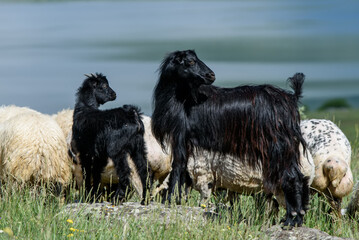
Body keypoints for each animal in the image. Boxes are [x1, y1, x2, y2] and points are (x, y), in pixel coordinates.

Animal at [71, 72, 152, 202]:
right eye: (103, 86)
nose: (114, 94)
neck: (84, 109)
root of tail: (134, 115)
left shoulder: (85, 150)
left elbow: (87, 171)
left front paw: (88, 195)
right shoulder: (99, 154)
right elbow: (96, 172)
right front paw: (95, 195)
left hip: (116, 149)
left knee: (125, 171)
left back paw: (118, 197)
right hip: (138, 145)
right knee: (144, 169)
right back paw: (145, 199)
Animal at [152, 50, 310, 227]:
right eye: (191, 61)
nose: (211, 75)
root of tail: (291, 98)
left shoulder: (179, 135)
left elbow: (177, 167)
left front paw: (169, 201)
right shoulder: (185, 140)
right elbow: (182, 169)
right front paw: (177, 200)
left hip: (278, 145)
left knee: (291, 177)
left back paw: (291, 219)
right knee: (299, 177)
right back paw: (297, 218)